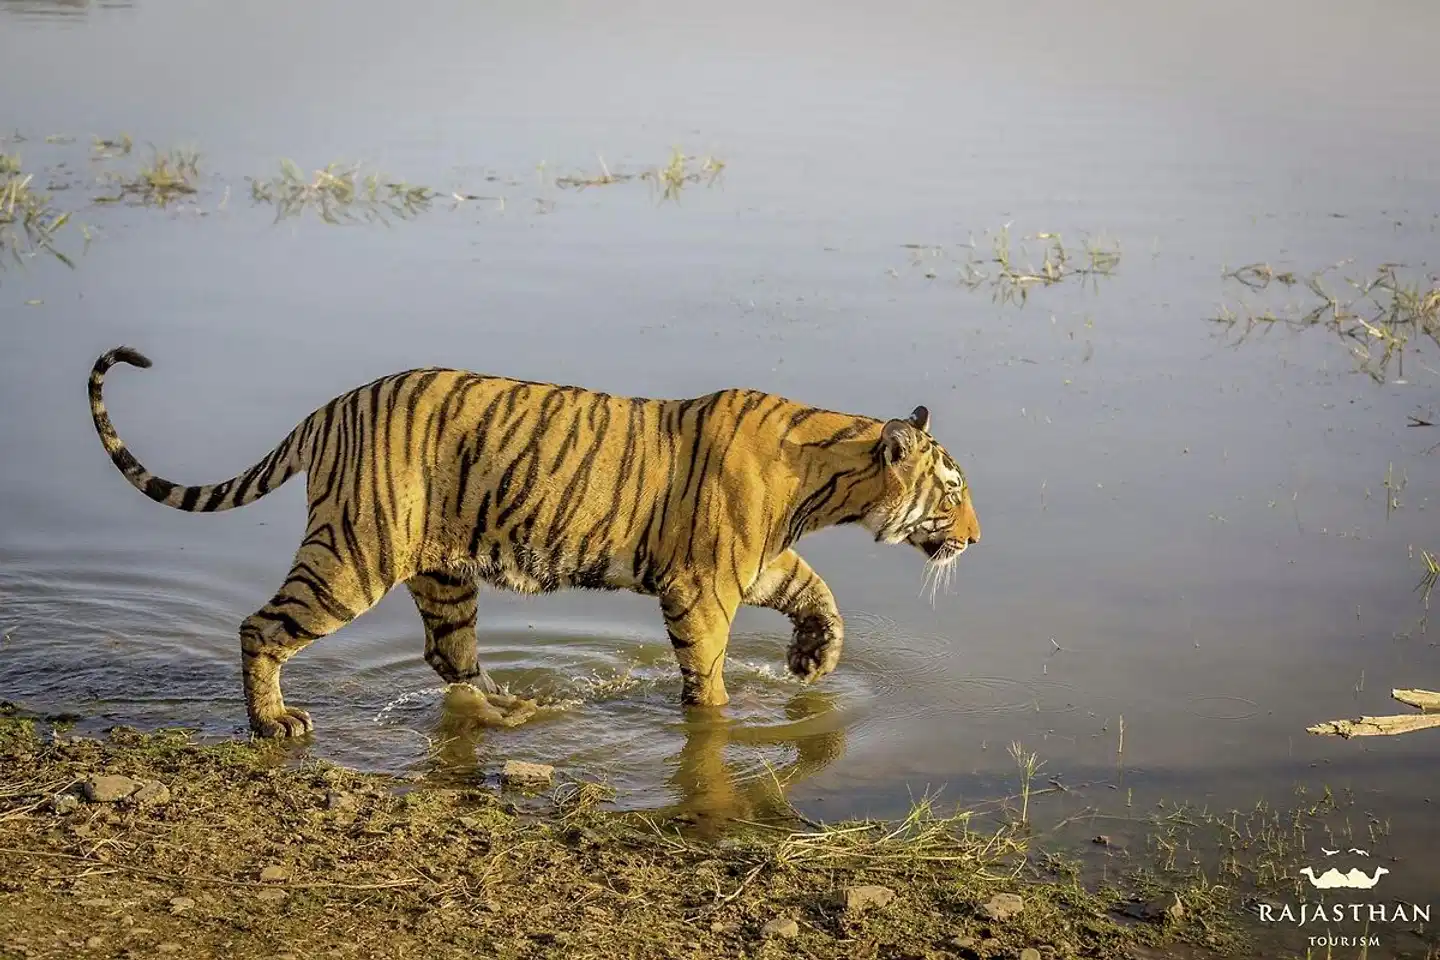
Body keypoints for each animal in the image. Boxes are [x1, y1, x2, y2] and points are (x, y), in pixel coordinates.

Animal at [87, 346, 981, 739]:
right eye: (952, 489)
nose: (975, 539)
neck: (825, 480)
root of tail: (332, 406)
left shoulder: (758, 564)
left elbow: (818, 594)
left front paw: (811, 661)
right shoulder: (702, 587)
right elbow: (710, 672)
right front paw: (725, 717)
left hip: (442, 573)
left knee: (450, 658)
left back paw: (515, 709)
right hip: (353, 554)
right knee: (261, 627)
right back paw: (274, 722)